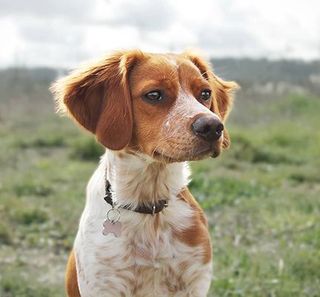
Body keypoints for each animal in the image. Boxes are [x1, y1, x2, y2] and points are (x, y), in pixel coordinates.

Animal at [50, 49, 238, 294]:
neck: (150, 206)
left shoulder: (196, 278)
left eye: (205, 93)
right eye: (154, 95)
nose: (213, 127)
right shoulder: (104, 283)